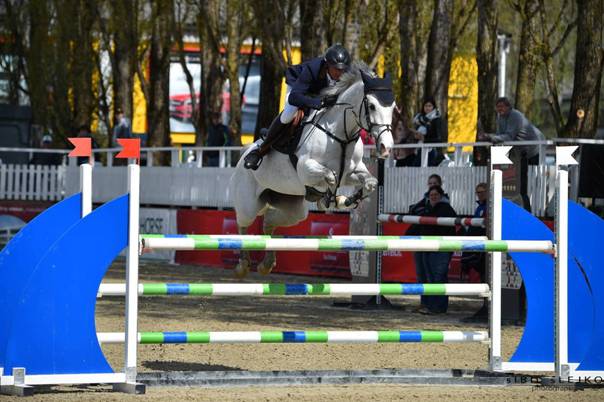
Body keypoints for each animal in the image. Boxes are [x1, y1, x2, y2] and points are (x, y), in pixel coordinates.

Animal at [229, 62, 394, 276]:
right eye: (372, 106)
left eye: (393, 107)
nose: (386, 147)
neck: (341, 134)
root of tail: (243, 153)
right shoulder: (305, 168)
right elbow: (331, 177)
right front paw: (329, 200)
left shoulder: (352, 173)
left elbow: (370, 182)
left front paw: (345, 200)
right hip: (249, 203)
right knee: (243, 225)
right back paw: (243, 264)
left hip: (293, 209)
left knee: (268, 222)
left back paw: (267, 264)